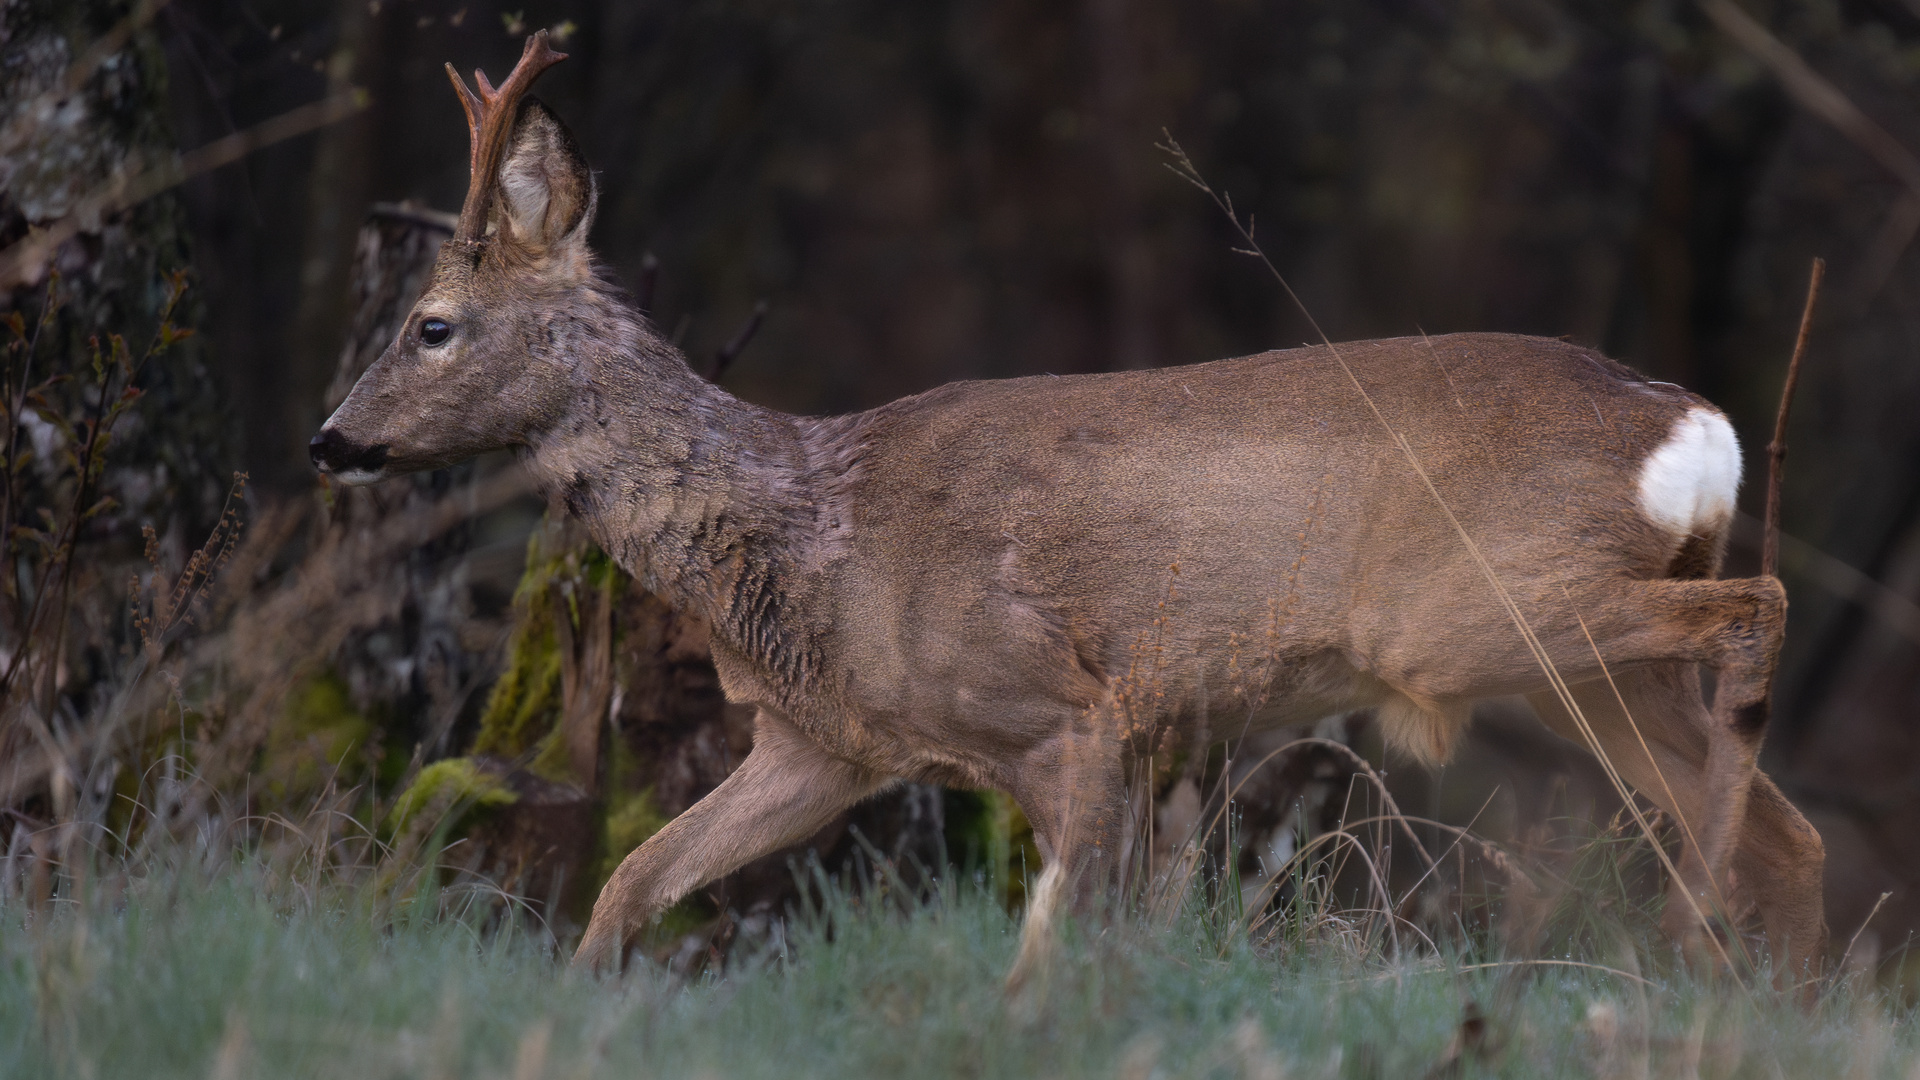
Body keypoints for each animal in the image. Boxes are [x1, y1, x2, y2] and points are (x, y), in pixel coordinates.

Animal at [314, 31, 1827, 976]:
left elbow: (1049, 947)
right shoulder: (828, 743)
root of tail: (1692, 426)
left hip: (1471, 613)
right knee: (1791, 833)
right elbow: (636, 879)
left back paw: (1694, 934)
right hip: (1578, 672)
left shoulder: (1072, 707)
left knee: (1763, 608)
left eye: (433, 327)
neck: (814, 529)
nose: (332, 441)